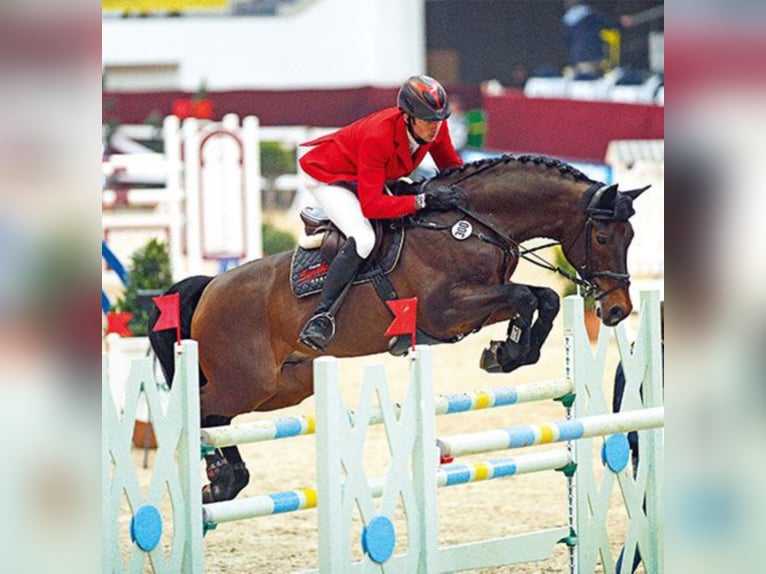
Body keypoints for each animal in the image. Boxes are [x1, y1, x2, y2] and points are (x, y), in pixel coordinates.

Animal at [148, 153, 648, 504]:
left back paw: (225, 480)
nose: (617, 310)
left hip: (283, 388)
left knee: (218, 419)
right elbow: (527, 297)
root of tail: (210, 286)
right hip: (246, 381)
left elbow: (542, 298)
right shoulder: (445, 309)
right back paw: (219, 478)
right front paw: (506, 352)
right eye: (603, 237)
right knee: (199, 411)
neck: (474, 225)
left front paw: (505, 352)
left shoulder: (476, 305)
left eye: (631, 238)